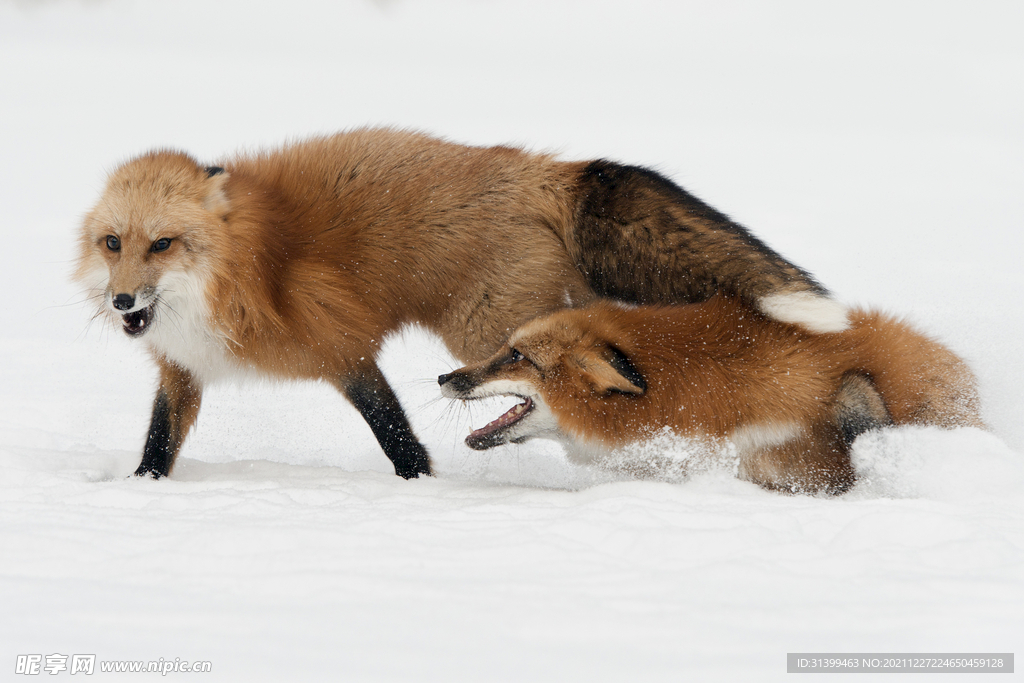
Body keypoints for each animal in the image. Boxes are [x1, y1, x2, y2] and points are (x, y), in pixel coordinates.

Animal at [75, 127, 847, 481]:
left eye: (164, 244)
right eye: (114, 243)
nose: (122, 300)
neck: (240, 272)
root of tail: (545, 169)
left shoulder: (342, 347)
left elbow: (394, 430)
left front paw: (421, 487)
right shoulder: (182, 368)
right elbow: (158, 441)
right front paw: (139, 492)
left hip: (498, 331)